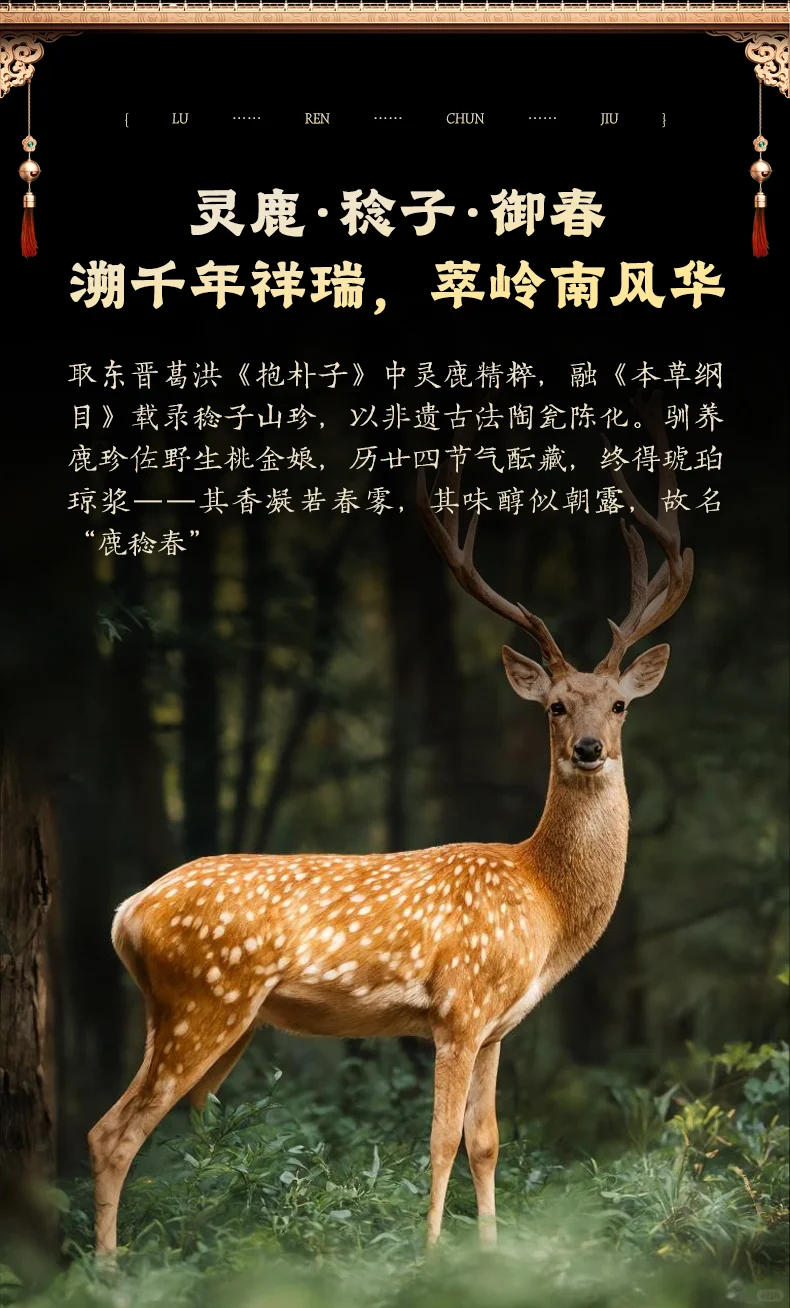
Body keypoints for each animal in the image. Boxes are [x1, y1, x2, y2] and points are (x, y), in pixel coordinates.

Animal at [89, 395, 693, 1256]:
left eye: (618, 704)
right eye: (554, 705)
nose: (588, 748)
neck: (543, 902)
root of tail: (126, 912)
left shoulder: (499, 1027)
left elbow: (487, 1141)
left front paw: (492, 1254)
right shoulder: (459, 1007)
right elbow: (439, 1140)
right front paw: (432, 1255)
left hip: (194, 1013)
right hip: (202, 998)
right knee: (114, 1133)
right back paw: (111, 1270)